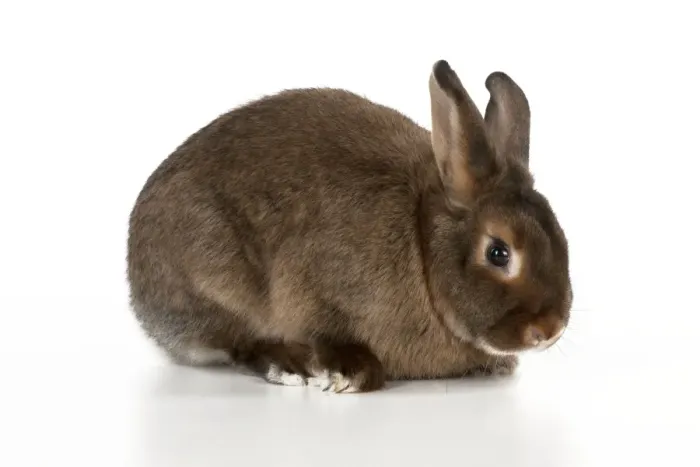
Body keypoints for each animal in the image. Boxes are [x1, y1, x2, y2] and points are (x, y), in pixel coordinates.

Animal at [126, 59, 572, 393]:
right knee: (240, 342)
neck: (422, 247)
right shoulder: (314, 287)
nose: (551, 329)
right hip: (215, 278)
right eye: (498, 252)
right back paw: (293, 367)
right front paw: (351, 374)